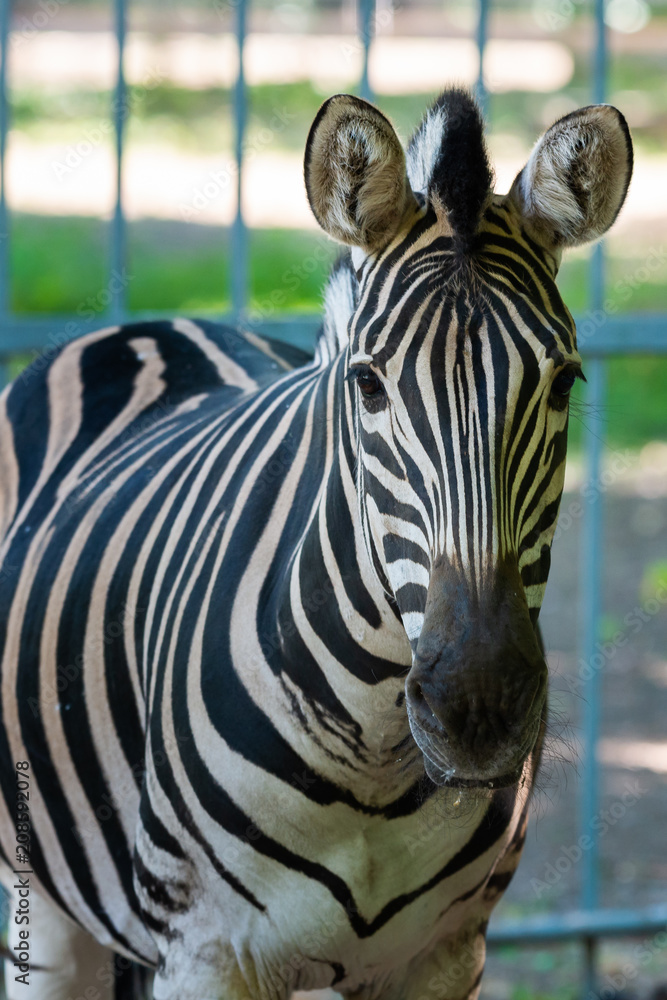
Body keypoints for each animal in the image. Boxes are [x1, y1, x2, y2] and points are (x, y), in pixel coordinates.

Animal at [0, 88, 631, 1000]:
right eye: (366, 385)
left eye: (562, 383)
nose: (477, 708)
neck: (374, 758)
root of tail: (150, 326)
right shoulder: (203, 955)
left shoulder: (444, 953)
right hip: (40, 900)